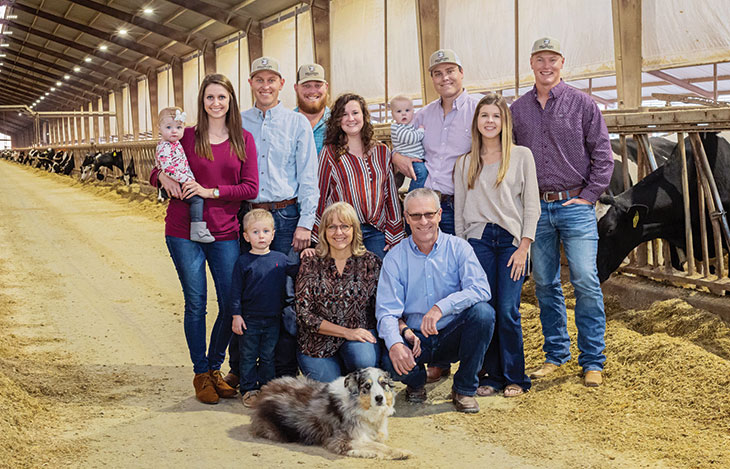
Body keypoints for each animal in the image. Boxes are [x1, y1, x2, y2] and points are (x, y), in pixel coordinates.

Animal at [249, 366, 410, 458]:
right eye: (367, 386)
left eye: (383, 383)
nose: (379, 398)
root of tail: (263, 392)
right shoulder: (340, 440)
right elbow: (378, 446)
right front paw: (401, 452)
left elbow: (377, 442)